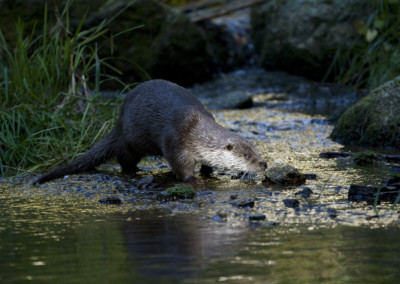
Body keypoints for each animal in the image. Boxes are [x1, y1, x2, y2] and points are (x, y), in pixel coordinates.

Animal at [33, 79, 266, 184]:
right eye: (247, 156)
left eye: (256, 150)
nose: (264, 164)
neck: (196, 132)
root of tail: (119, 121)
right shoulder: (175, 140)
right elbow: (180, 164)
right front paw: (190, 179)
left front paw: (208, 172)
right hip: (132, 140)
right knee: (124, 158)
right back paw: (136, 170)